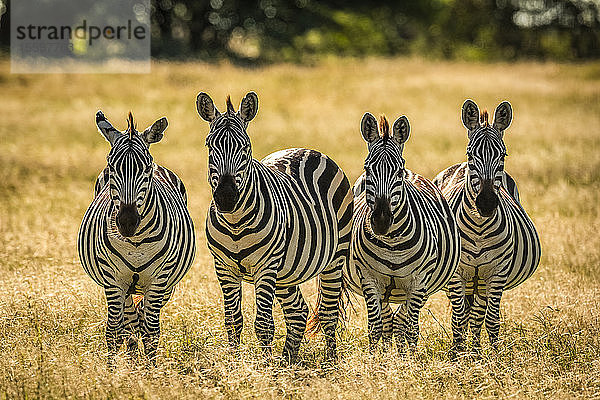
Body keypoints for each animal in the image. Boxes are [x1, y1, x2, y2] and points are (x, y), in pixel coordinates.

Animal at [76, 110, 196, 366]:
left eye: (146, 169)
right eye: (111, 166)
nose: (127, 222)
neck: (136, 241)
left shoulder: (159, 279)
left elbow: (151, 332)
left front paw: (150, 371)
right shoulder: (112, 279)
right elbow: (114, 330)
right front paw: (111, 372)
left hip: (167, 285)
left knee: (139, 321)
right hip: (125, 286)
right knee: (129, 323)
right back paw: (131, 362)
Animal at [197, 92, 356, 364]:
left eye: (245, 147)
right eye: (210, 146)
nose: (226, 197)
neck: (235, 221)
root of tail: (307, 150)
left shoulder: (266, 266)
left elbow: (263, 324)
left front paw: (265, 367)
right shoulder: (224, 267)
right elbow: (233, 321)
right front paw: (235, 363)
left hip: (334, 258)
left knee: (328, 314)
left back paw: (330, 362)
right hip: (285, 273)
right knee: (298, 312)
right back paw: (288, 362)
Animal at [344, 112, 462, 354]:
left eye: (398, 171)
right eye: (367, 169)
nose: (381, 221)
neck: (392, 244)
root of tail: (414, 174)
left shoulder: (419, 281)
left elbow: (412, 330)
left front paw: (410, 359)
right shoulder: (369, 278)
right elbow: (375, 328)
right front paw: (375, 359)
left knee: (401, 321)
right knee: (390, 321)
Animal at [432, 100, 544, 354]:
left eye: (503, 154)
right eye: (471, 153)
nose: (486, 203)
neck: (479, 227)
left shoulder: (496, 272)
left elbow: (490, 319)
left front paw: (492, 355)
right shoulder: (457, 274)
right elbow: (458, 319)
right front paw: (457, 355)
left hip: (481, 280)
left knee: (477, 315)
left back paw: (475, 350)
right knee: (466, 313)